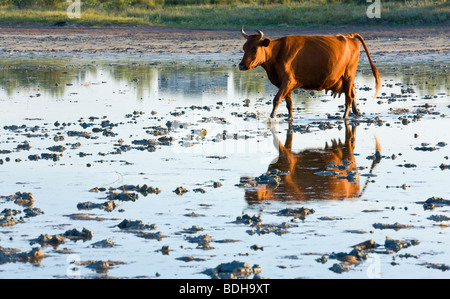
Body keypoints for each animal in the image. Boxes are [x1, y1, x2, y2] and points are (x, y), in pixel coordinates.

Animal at [239, 26, 380, 120]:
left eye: (254, 48)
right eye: (244, 48)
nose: (241, 65)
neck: (278, 52)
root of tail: (348, 36)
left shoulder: (288, 81)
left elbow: (277, 99)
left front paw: (272, 116)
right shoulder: (286, 84)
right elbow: (289, 103)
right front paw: (290, 118)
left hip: (349, 74)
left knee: (349, 96)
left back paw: (345, 116)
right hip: (347, 77)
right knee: (353, 92)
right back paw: (356, 112)